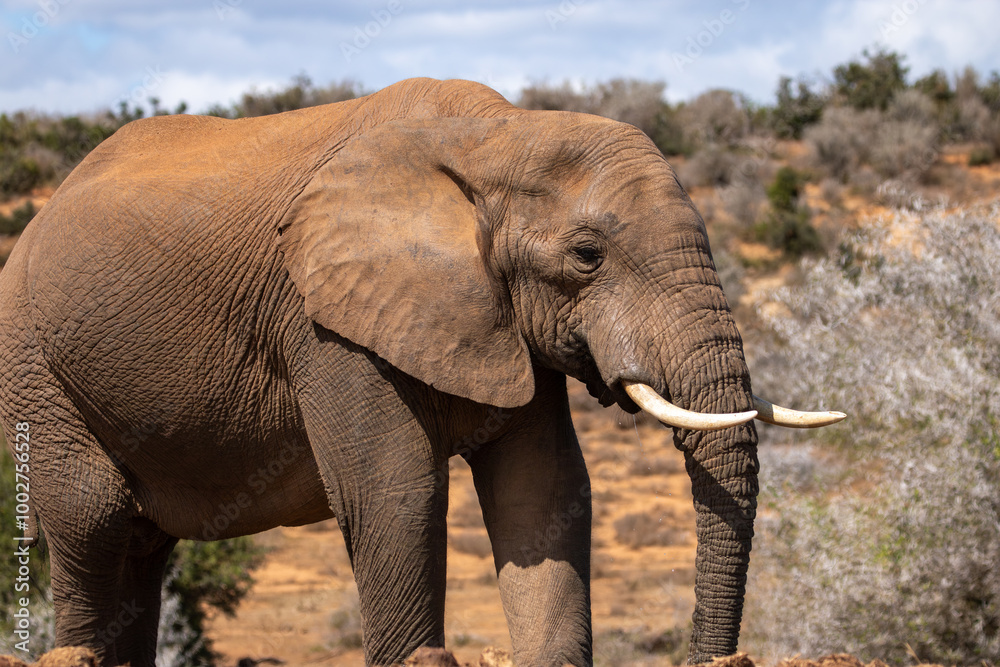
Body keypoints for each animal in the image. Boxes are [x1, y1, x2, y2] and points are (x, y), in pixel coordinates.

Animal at [0, 78, 843, 667]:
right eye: (586, 255)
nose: (719, 656)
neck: (494, 135)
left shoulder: (505, 320)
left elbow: (544, 490)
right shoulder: (326, 321)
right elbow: (395, 490)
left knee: (143, 547)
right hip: (35, 358)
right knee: (94, 516)